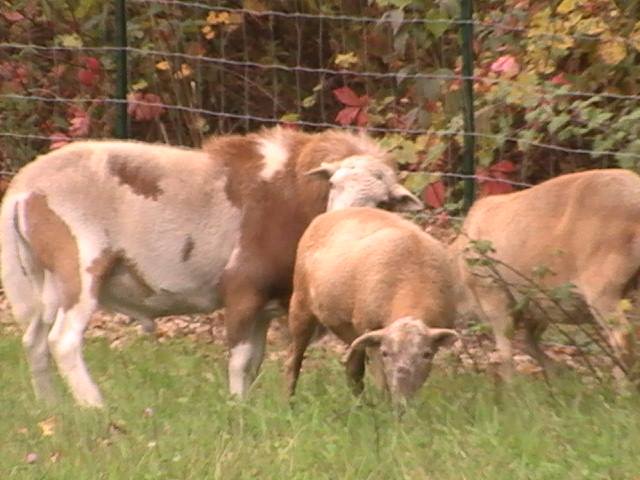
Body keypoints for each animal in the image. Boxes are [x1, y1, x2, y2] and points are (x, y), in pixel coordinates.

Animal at [286, 206, 460, 402]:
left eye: (426, 354)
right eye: (385, 353)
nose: (402, 400)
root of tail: (328, 214)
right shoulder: (371, 330)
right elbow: (382, 382)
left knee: (352, 370)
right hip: (301, 303)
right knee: (293, 360)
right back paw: (289, 403)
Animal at [450, 169, 640, 382]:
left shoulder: (493, 295)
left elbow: (506, 351)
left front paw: (511, 387)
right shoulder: (538, 304)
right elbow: (529, 342)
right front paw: (557, 376)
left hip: (603, 285)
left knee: (622, 338)